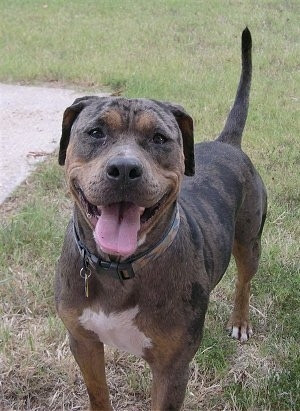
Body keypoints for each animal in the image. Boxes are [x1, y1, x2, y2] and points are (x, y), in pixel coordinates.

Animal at [54, 29, 268, 411]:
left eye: (159, 138)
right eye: (95, 132)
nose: (125, 169)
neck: (119, 267)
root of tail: (228, 143)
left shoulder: (172, 368)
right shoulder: (83, 342)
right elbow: (98, 394)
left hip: (249, 241)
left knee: (244, 281)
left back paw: (240, 321)